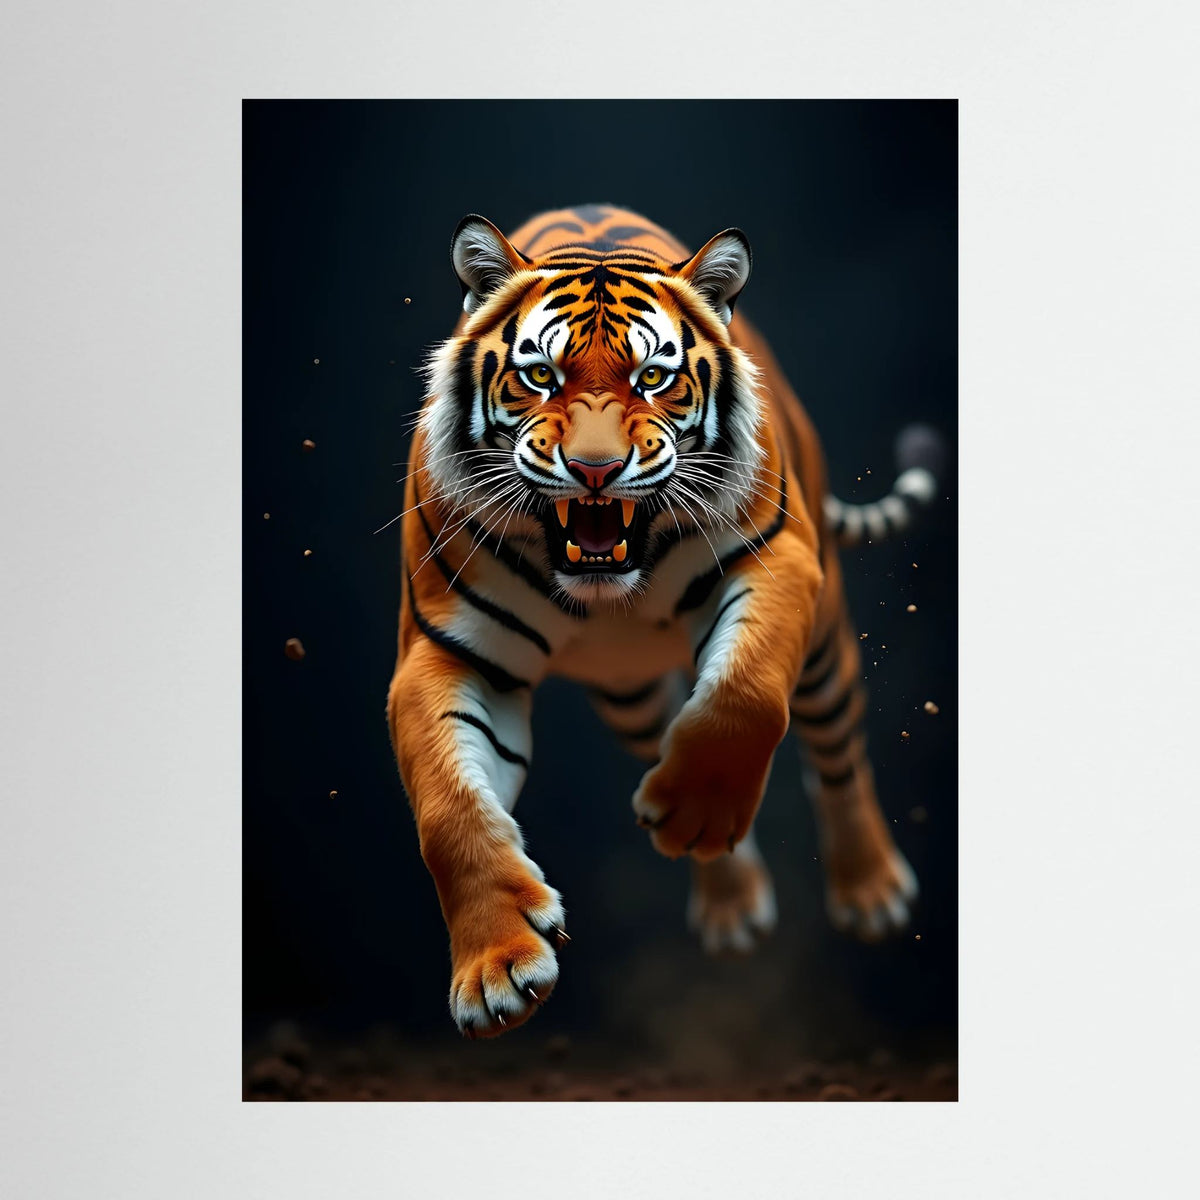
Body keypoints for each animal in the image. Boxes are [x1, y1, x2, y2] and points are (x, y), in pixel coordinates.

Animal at [387, 203, 942, 1039]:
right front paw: (497, 972)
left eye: (653, 377)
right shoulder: (442, 652)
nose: (594, 470)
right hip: (628, 694)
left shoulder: (779, 562)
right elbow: (448, 811)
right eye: (540, 375)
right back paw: (729, 904)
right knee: (667, 730)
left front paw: (698, 811)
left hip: (825, 651)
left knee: (836, 754)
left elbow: (745, 695)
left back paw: (870, 890)